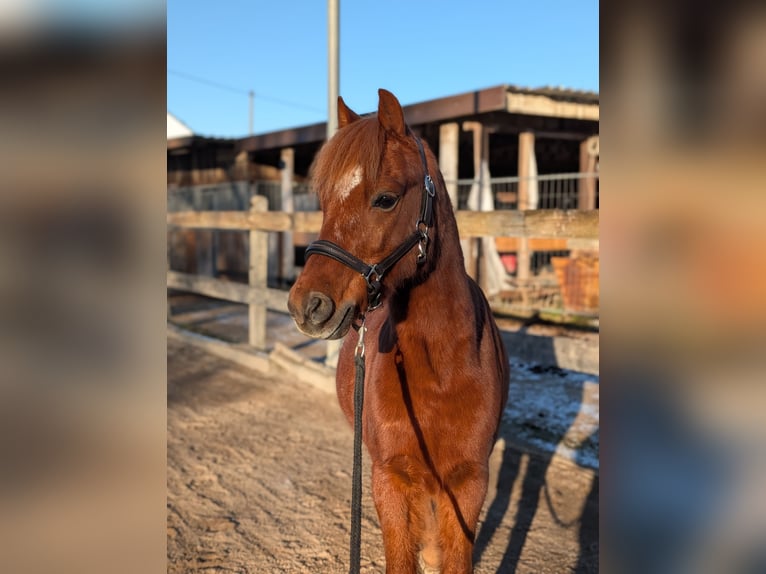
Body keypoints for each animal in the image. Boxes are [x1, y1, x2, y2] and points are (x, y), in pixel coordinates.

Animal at [288, 89, 509, 574]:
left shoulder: (470, 483)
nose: (306, 306)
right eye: (324, 199)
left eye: (385, 199)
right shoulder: (389, 477)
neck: (442, 368)